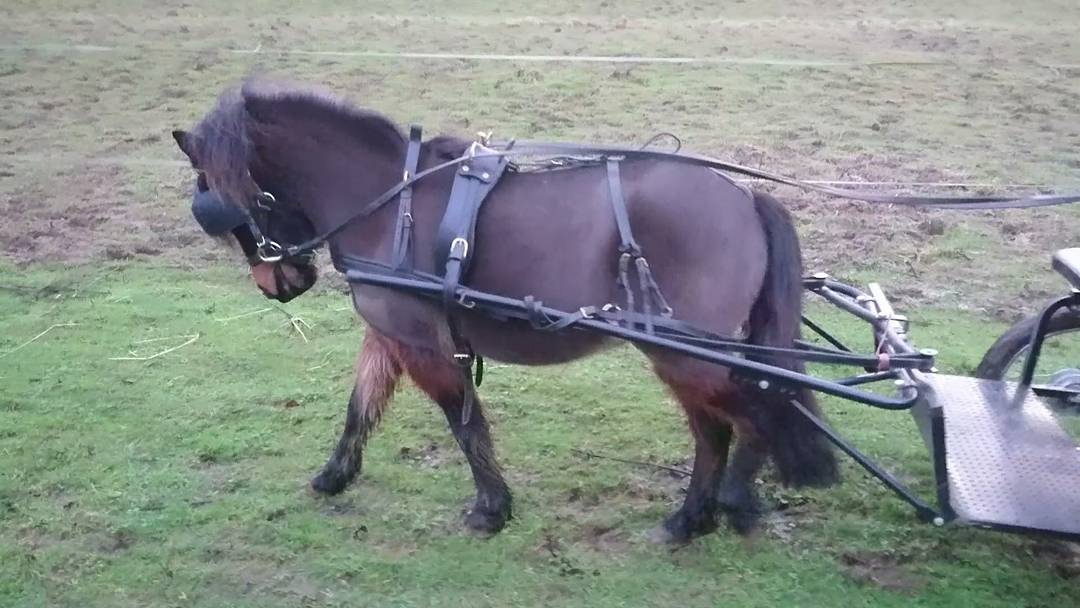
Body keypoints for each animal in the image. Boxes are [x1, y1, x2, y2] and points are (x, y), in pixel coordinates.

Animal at [171, 77, 838, 544]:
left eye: (221, 198)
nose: (277, 282)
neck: (390, 202)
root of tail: (745, 197)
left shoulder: (422, 342)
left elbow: (463, 420)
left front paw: (491, 509)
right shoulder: (390, 332)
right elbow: (360, 407)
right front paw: (334, 476)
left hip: (681, 353)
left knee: (736, 421)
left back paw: (715, 509)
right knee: (739, 416)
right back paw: (707, 512)